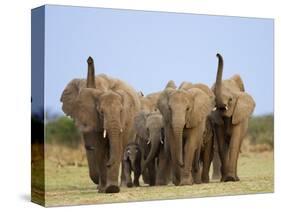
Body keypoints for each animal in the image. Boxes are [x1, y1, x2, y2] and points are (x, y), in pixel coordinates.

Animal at [60, 56, 140, 192]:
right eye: (101, 112)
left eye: (121, 111)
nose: (89, 59)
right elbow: (98, 148)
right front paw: (104, 188)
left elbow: (113, 147)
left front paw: (111, 188)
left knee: (123, 149)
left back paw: (123, 185)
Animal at [211, 53, 255, 182]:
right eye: (213, 97)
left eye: (230, 99)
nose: (217, 54)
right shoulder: (217, 120)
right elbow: (221, 145)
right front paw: (226, 179)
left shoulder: (238, 115)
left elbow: (234, 142)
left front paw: (230, 179)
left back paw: (236, 178)